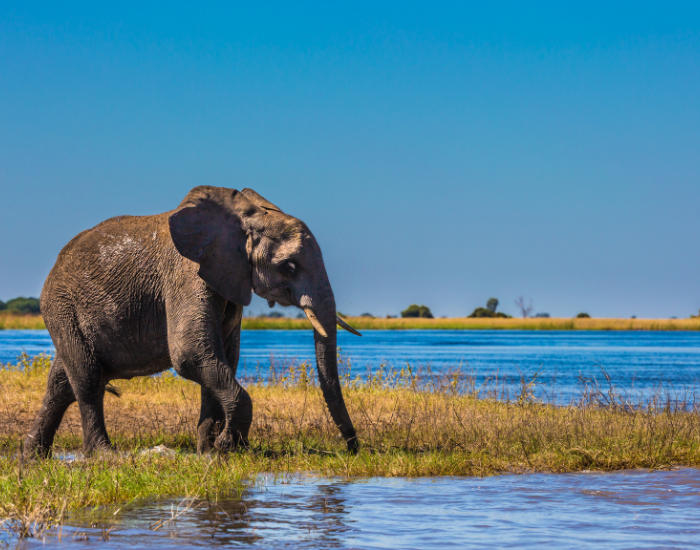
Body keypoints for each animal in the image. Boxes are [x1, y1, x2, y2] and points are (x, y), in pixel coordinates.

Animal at [25, 186, 361, 457]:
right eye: (289, 266)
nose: (353, 448)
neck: (244, 218)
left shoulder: (227, 278)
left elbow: (222, 357)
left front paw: (209, 453)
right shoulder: (185, 273)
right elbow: (191, 354)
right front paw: (227, 447)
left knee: (61, 383)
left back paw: (32, 457)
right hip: (61, 307)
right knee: (87, 379)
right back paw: (105, 456)